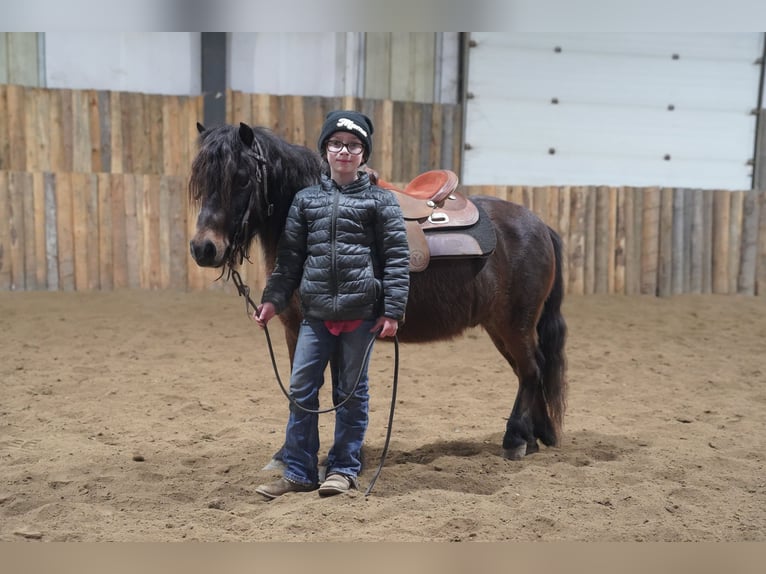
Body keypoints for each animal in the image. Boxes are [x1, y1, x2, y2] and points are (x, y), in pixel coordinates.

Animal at [188, 121, 568, 464]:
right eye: (201, 181)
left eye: (241, 178)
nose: (204, 248)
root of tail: (540, 226)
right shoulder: (297, 329)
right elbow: (307, 390)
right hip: (499, 327)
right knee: (528, 371)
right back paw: (534, 437)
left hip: (515, 324)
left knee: (532, 370)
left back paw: (515, 439)